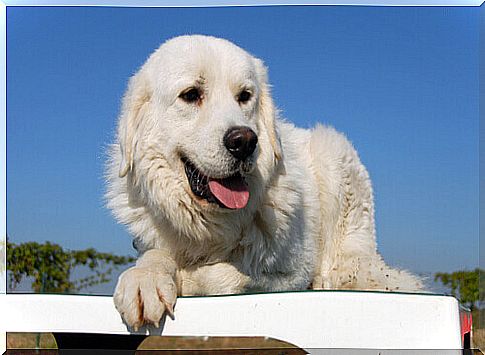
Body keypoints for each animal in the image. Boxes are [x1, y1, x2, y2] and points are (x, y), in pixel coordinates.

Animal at [105, 34, 420, 330]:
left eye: (244, 96)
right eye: (191, 94)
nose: (244, 141)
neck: (211, 228)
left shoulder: (292, 273)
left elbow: (226, 276)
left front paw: (187, 279)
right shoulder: (153, 241)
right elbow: (155, 255)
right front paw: (144, 279)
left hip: (332, 150)